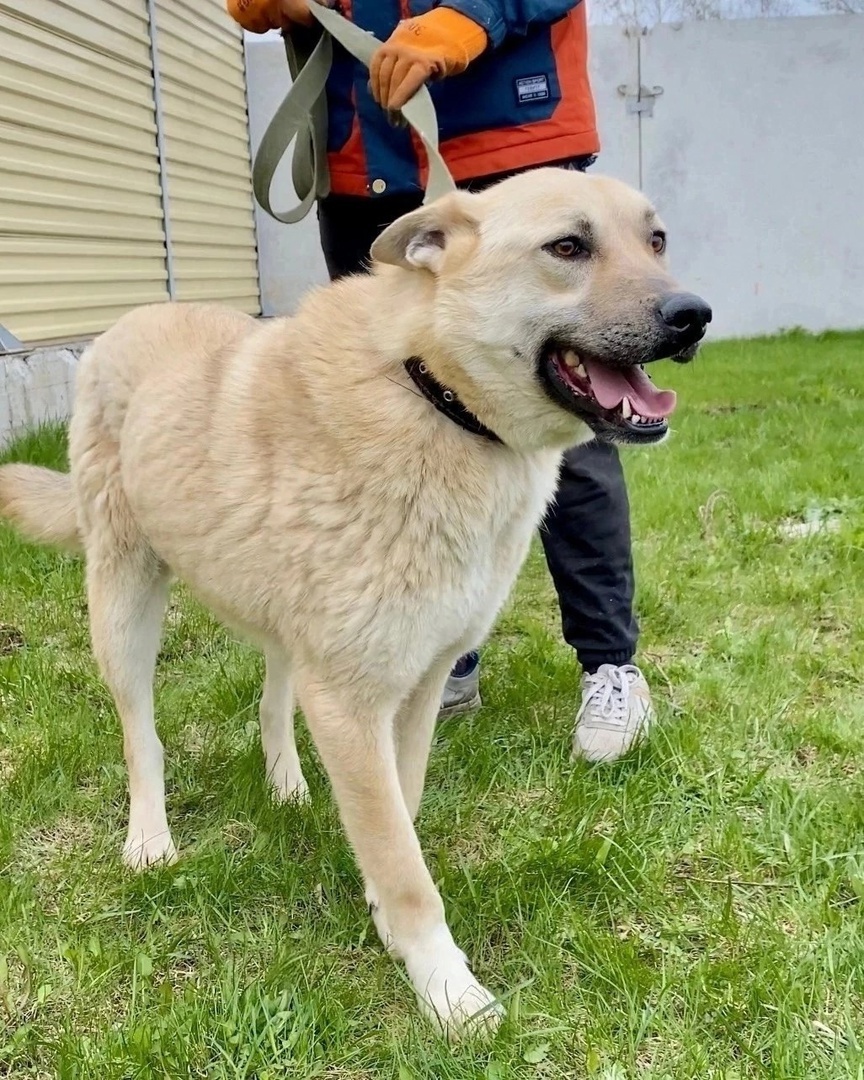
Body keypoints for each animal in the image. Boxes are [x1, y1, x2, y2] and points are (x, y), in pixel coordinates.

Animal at [0, 168, 708, 1036]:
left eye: (656, 240)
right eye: (568, 247)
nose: (694, 315)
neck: (433, 394)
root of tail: (126, 320)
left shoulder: (415, 685)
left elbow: (398, 811)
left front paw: (384, 915)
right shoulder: (351, 698)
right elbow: (404, 862)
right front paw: (447, 990)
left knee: (271, 701)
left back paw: (288, 786)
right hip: (125, 602)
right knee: (142, 735)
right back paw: (151, 838)